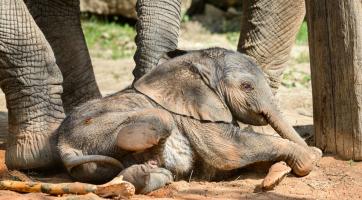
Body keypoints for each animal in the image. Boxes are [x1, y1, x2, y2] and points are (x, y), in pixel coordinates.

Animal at [55, 47, 320, 194]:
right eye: (247, 86)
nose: (317, 151)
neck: (195, 62)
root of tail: (62, 146)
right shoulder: (194, 112)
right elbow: (227, 150)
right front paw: (306, 160)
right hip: (94, 128)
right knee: (161, 119)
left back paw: (144, 172)